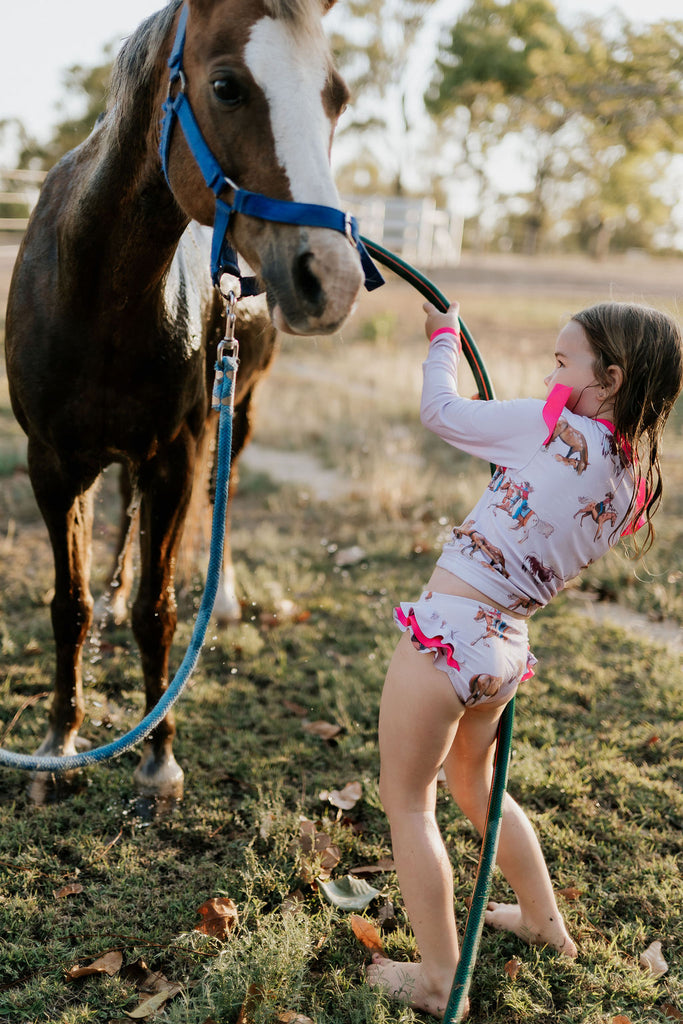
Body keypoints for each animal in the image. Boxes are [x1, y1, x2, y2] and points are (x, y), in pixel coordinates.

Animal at [4, 0, 366, 804]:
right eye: (226, 86)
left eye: (335, 97)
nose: (332, 278)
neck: (97, 291)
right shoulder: (52, 463)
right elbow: (70, 608)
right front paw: (57, 743)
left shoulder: (177, 453)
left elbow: (160, 610)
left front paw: (157, 757)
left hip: (239, 413)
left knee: (213, 501)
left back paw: (221, 598)